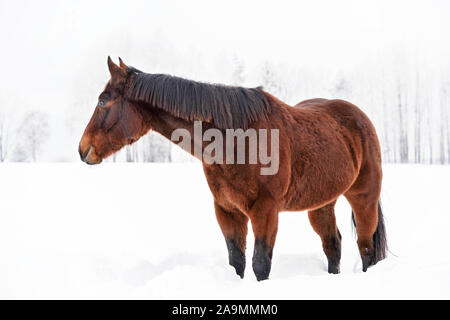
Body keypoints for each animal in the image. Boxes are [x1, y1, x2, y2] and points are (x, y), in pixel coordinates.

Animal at [78, 57, 386, 280]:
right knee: (333, 245)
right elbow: (236, 262)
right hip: (321, 204)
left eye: (103, 100)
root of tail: (360, 118)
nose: (83, 150)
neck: (237, 140)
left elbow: (260, 264)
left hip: (363, 198)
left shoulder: (265, 211)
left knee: (366, 247)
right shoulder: (227, 210)